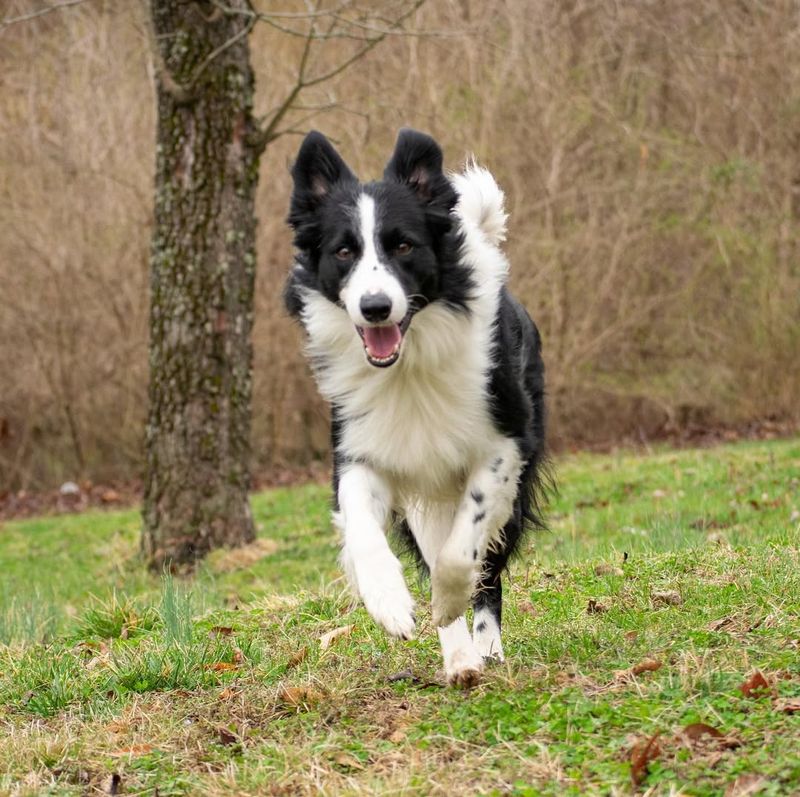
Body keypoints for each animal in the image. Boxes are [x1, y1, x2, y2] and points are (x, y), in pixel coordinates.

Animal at [284, 131, 548, 684]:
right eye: (344, 251)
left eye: (403, 245)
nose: (375, 307)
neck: (405, 366)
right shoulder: (362, 448)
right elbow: (363, 526)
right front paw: (389, 602)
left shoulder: (505, 443)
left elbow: (463, 547)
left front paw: (448, 598)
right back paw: (460, 658)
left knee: (486, 567)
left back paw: (484, 646)